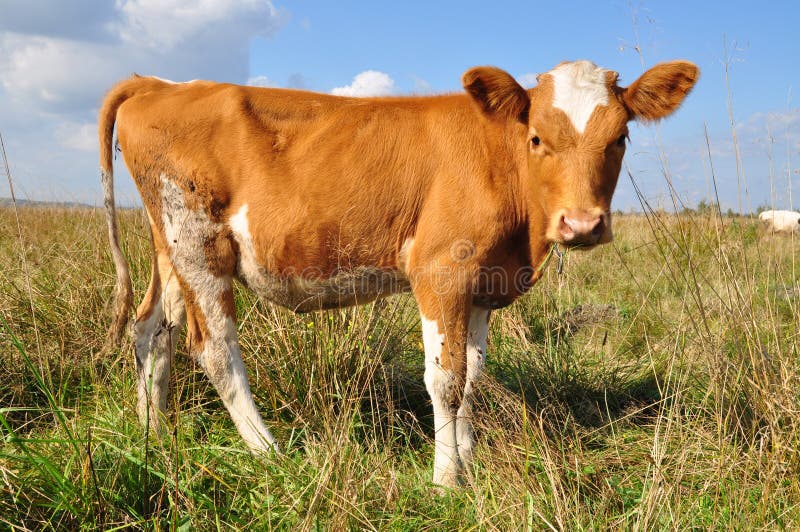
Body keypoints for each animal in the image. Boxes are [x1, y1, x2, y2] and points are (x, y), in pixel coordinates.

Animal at [101, 58, 700, 486]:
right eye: (536, 138)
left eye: (620, 137)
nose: (581, 224)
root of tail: (159, 84)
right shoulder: (442, 271)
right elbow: (445, 380)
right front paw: (446, 479)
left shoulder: (483, 284)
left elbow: (473, 375)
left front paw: (467, 458)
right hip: (199, 244)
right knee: (215, 349)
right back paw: (270, 453)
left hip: (169, 245)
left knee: (152, 330)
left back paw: (152, 436)